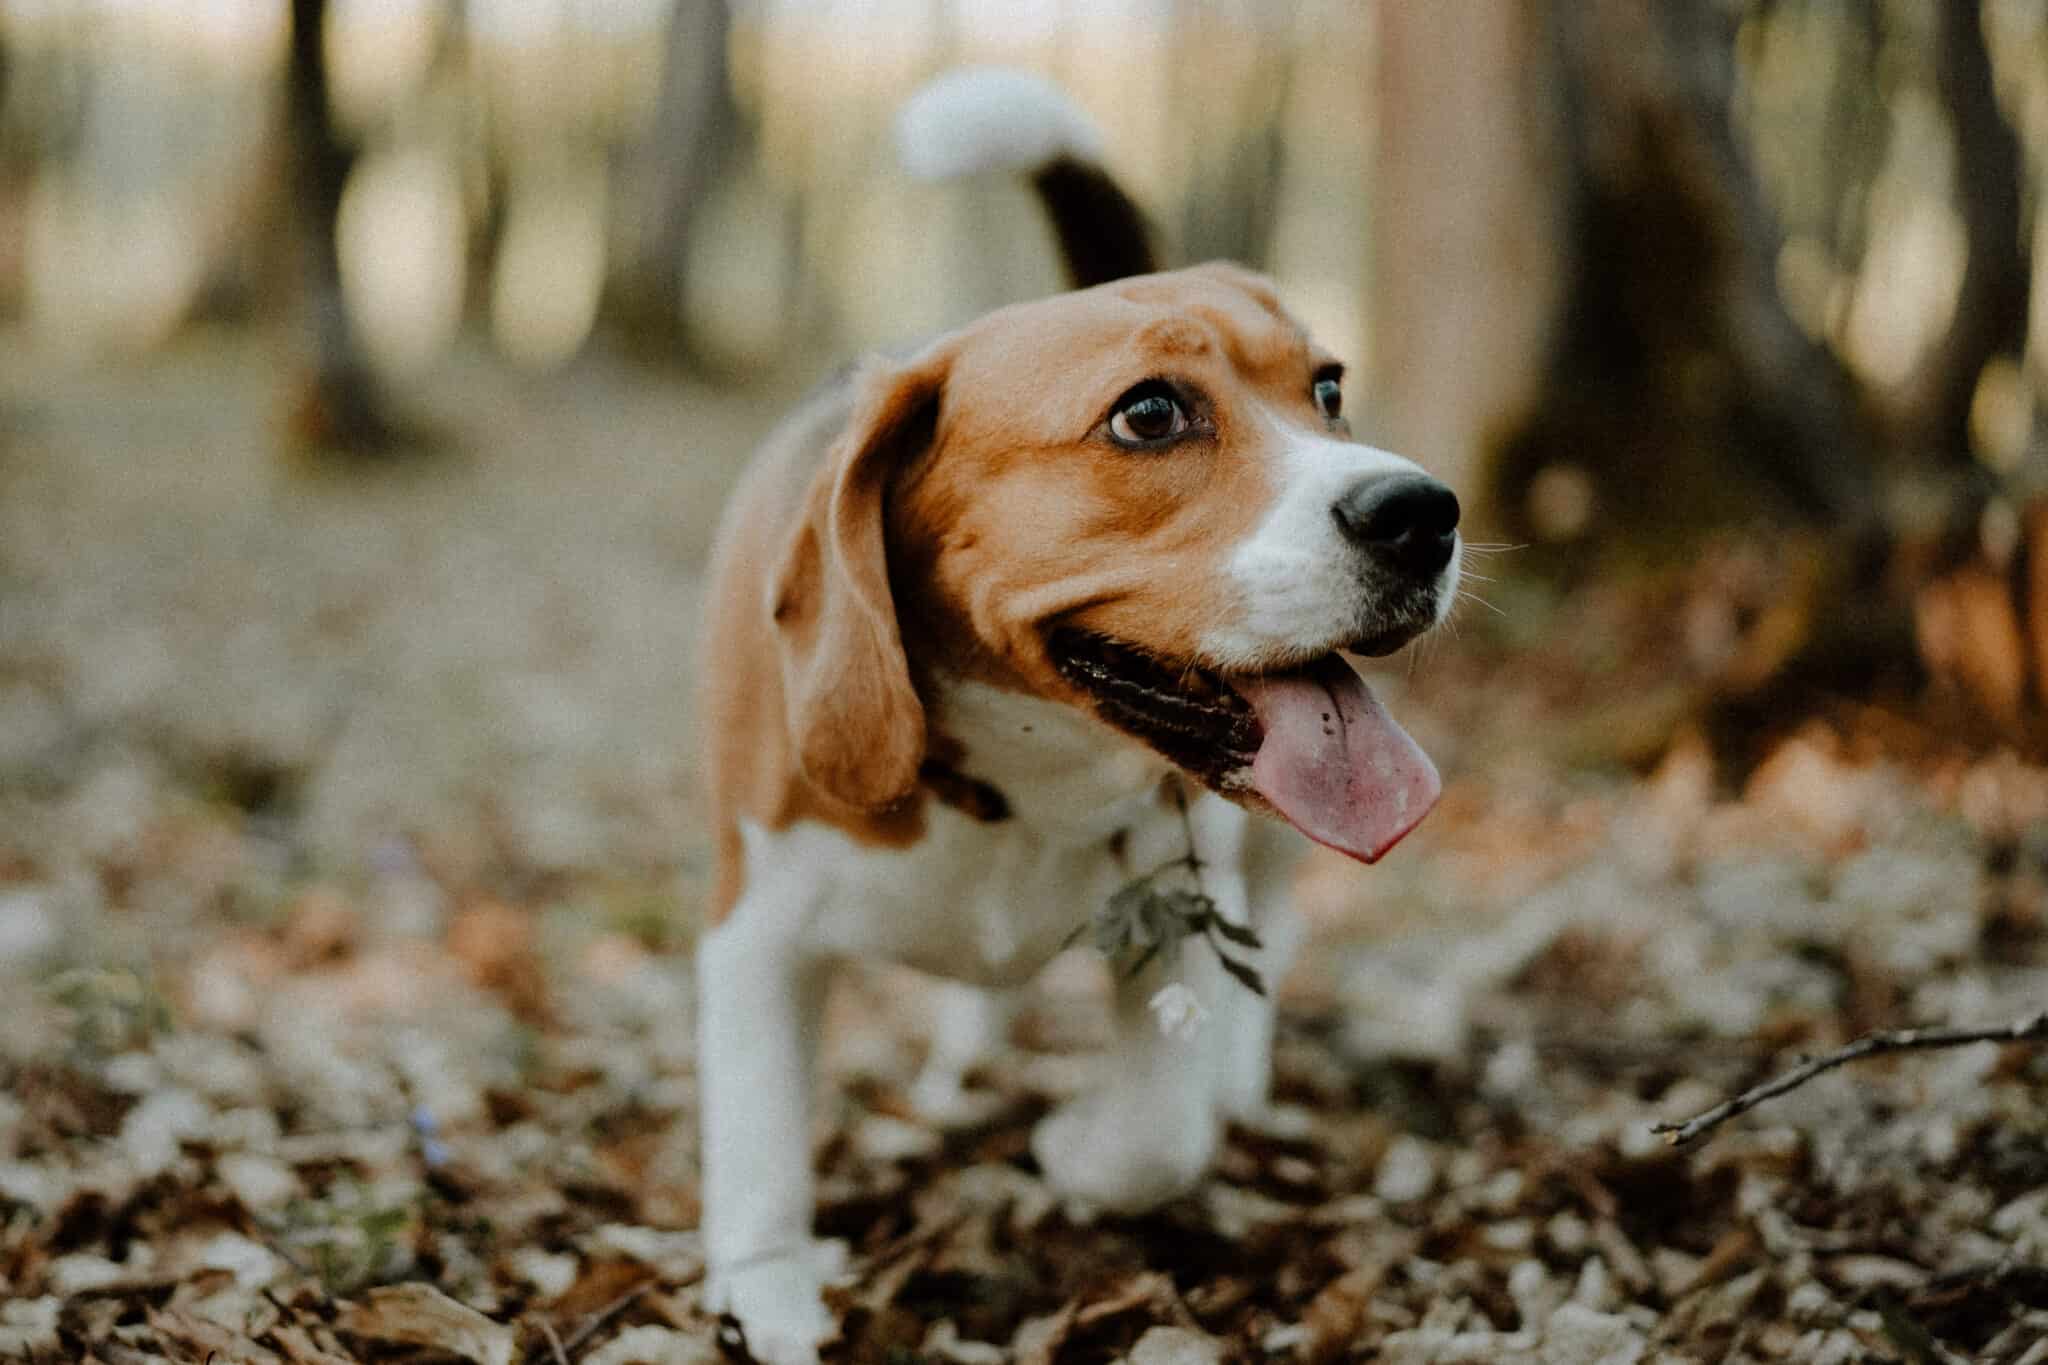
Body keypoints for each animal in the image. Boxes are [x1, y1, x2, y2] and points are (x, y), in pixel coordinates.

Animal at [696, 69, 1466, 1358]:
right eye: (1148, 415)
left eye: (1327, 390)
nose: (1422, 512)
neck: (1018, 765)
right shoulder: (750, 936)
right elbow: (757, 1152)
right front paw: (774, 1298)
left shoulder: (1178, 911)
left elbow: (1157, 1137)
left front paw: (1075, 1153)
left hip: (1264, 857)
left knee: (1276, 932)